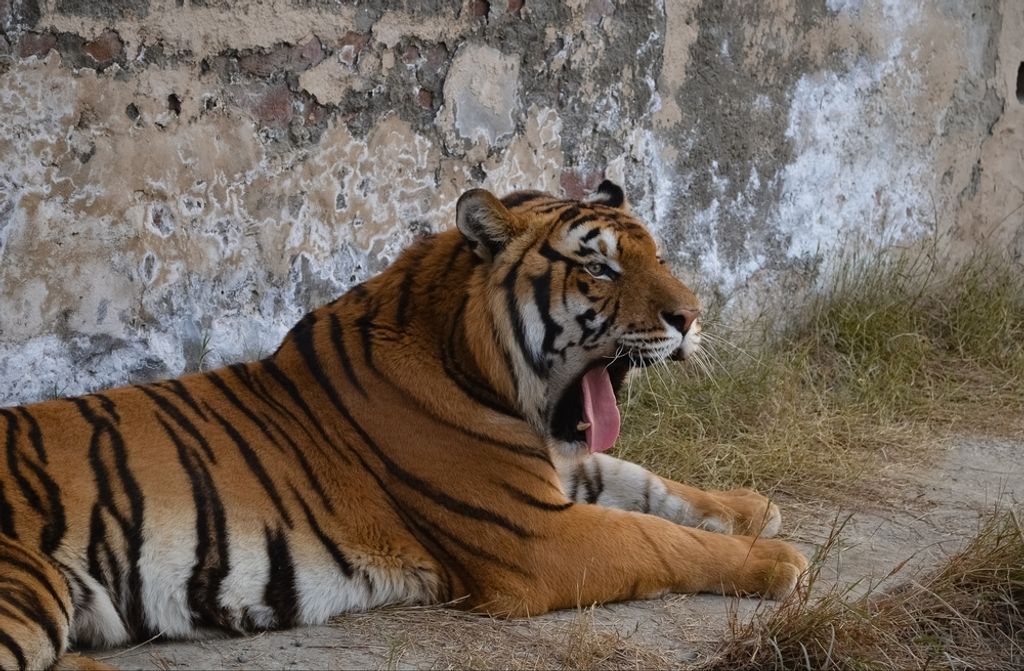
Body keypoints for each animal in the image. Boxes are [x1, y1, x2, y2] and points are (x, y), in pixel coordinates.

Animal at [0, 180, 807, 670]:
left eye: (659, 255)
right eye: (601, 269)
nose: (691, 317)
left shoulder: (556, 470)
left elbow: (642, 480)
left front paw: (750, 507)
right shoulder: (536, 537)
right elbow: (658, 538)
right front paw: (778, 560)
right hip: (26, 590)